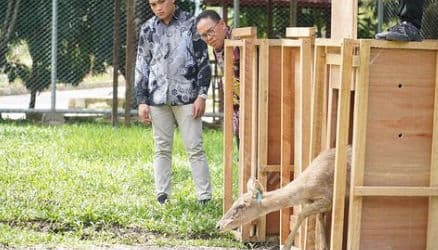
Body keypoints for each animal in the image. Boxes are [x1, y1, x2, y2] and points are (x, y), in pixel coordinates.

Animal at [216, 146, 352, 249]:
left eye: (241, 205)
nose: (218, 226)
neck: (306, 190)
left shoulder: (327, 197)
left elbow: (302, 213)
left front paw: (286, 245)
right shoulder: (315, 202)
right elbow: (319, 216)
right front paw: (325, 246)